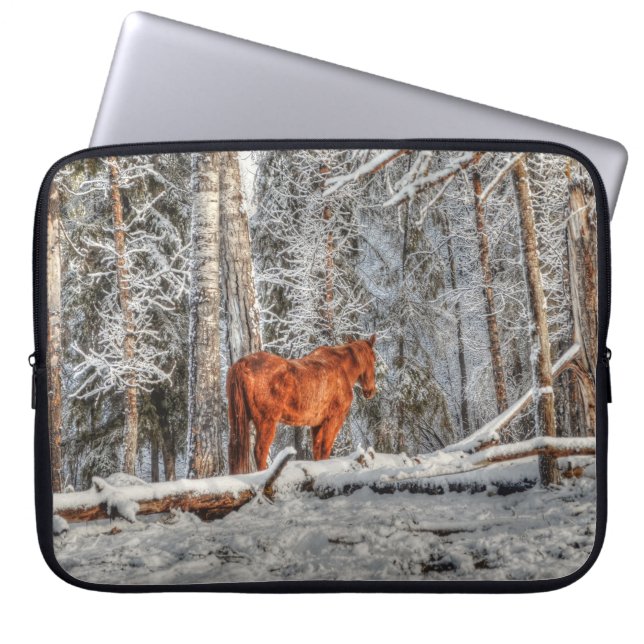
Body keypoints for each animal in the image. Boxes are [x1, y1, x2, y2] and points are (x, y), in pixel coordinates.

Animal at [226, 335, 377, 474]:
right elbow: (325, 448)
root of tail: (243, 363)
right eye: (374, 359)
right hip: (266, 422)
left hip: (238, 419)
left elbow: (317, 450)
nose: (370, 391)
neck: (342, 368)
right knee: (260, 450)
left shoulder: (317, 424)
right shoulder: (334, 419)